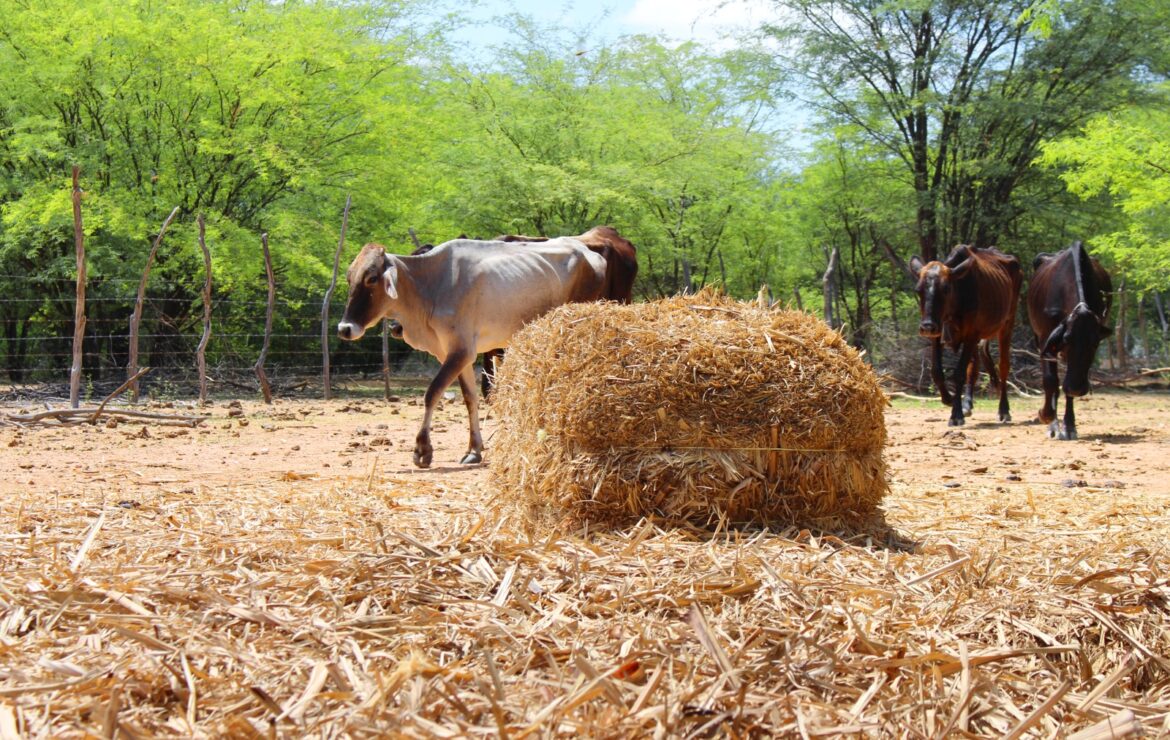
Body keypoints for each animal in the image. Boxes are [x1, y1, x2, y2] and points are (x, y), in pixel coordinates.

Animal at [336, 238, 603, 468]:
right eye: (349, 278)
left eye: (371, 278)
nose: (344, 328)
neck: (429, 286)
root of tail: (590, 253)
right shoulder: (454, 355)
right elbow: (469, 398)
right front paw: (474, 450)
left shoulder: (462, 351)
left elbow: (432, 393)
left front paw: (422, 450)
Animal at [907, 244, 1020, 423]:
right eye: (918, 289)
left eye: (946, 288)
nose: (927, 326)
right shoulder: (938, 335)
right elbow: (936, 371)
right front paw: (949, 399)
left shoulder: (971, 335)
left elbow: (959, 372)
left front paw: (956, 414)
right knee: (974, 367)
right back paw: (967, 403)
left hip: (1007, 325)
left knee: (1003, 366)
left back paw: (1004, 410)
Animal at [1024, 242, 1113, 440]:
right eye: (1067, 338)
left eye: (1095, 343)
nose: (1076, 388)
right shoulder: (1045, 339)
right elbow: (1050, 380)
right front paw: (1047, 417)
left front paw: (1069, 425)